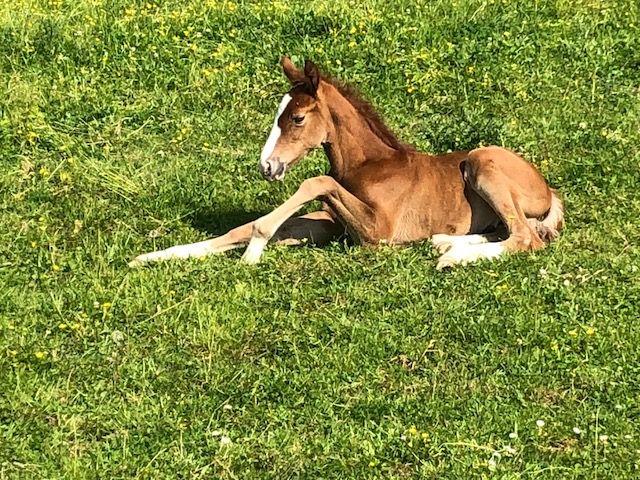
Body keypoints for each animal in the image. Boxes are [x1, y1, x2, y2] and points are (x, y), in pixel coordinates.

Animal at [129, 57, 564, 269]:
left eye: (296, 118)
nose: (267, 167)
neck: (370, 166)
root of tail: (549, 188)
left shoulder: (377, 233)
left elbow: (315, 182)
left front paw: (254, 250)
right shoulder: (329, 225)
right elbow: (239, 228)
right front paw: (154, 256)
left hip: (481, 161)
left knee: (525, 237)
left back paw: (453, 257)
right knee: (513, 230)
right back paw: (444, 241)